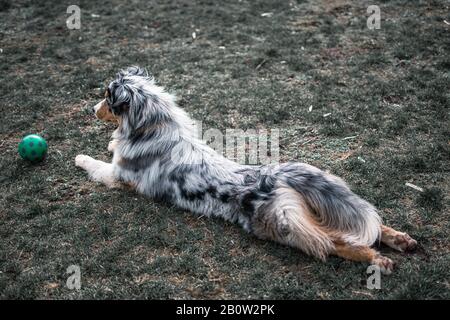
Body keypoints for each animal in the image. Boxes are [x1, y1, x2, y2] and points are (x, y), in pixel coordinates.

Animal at [76, 66, 418, 274]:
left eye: (106, 97)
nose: (91, 110)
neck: (153, 124)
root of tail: (272, 174)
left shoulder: (119, 177)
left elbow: (98, 165)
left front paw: (81, 157)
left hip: (283, 227)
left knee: (336, 242)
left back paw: (378, 259)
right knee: (365, 224)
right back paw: (401, 240)